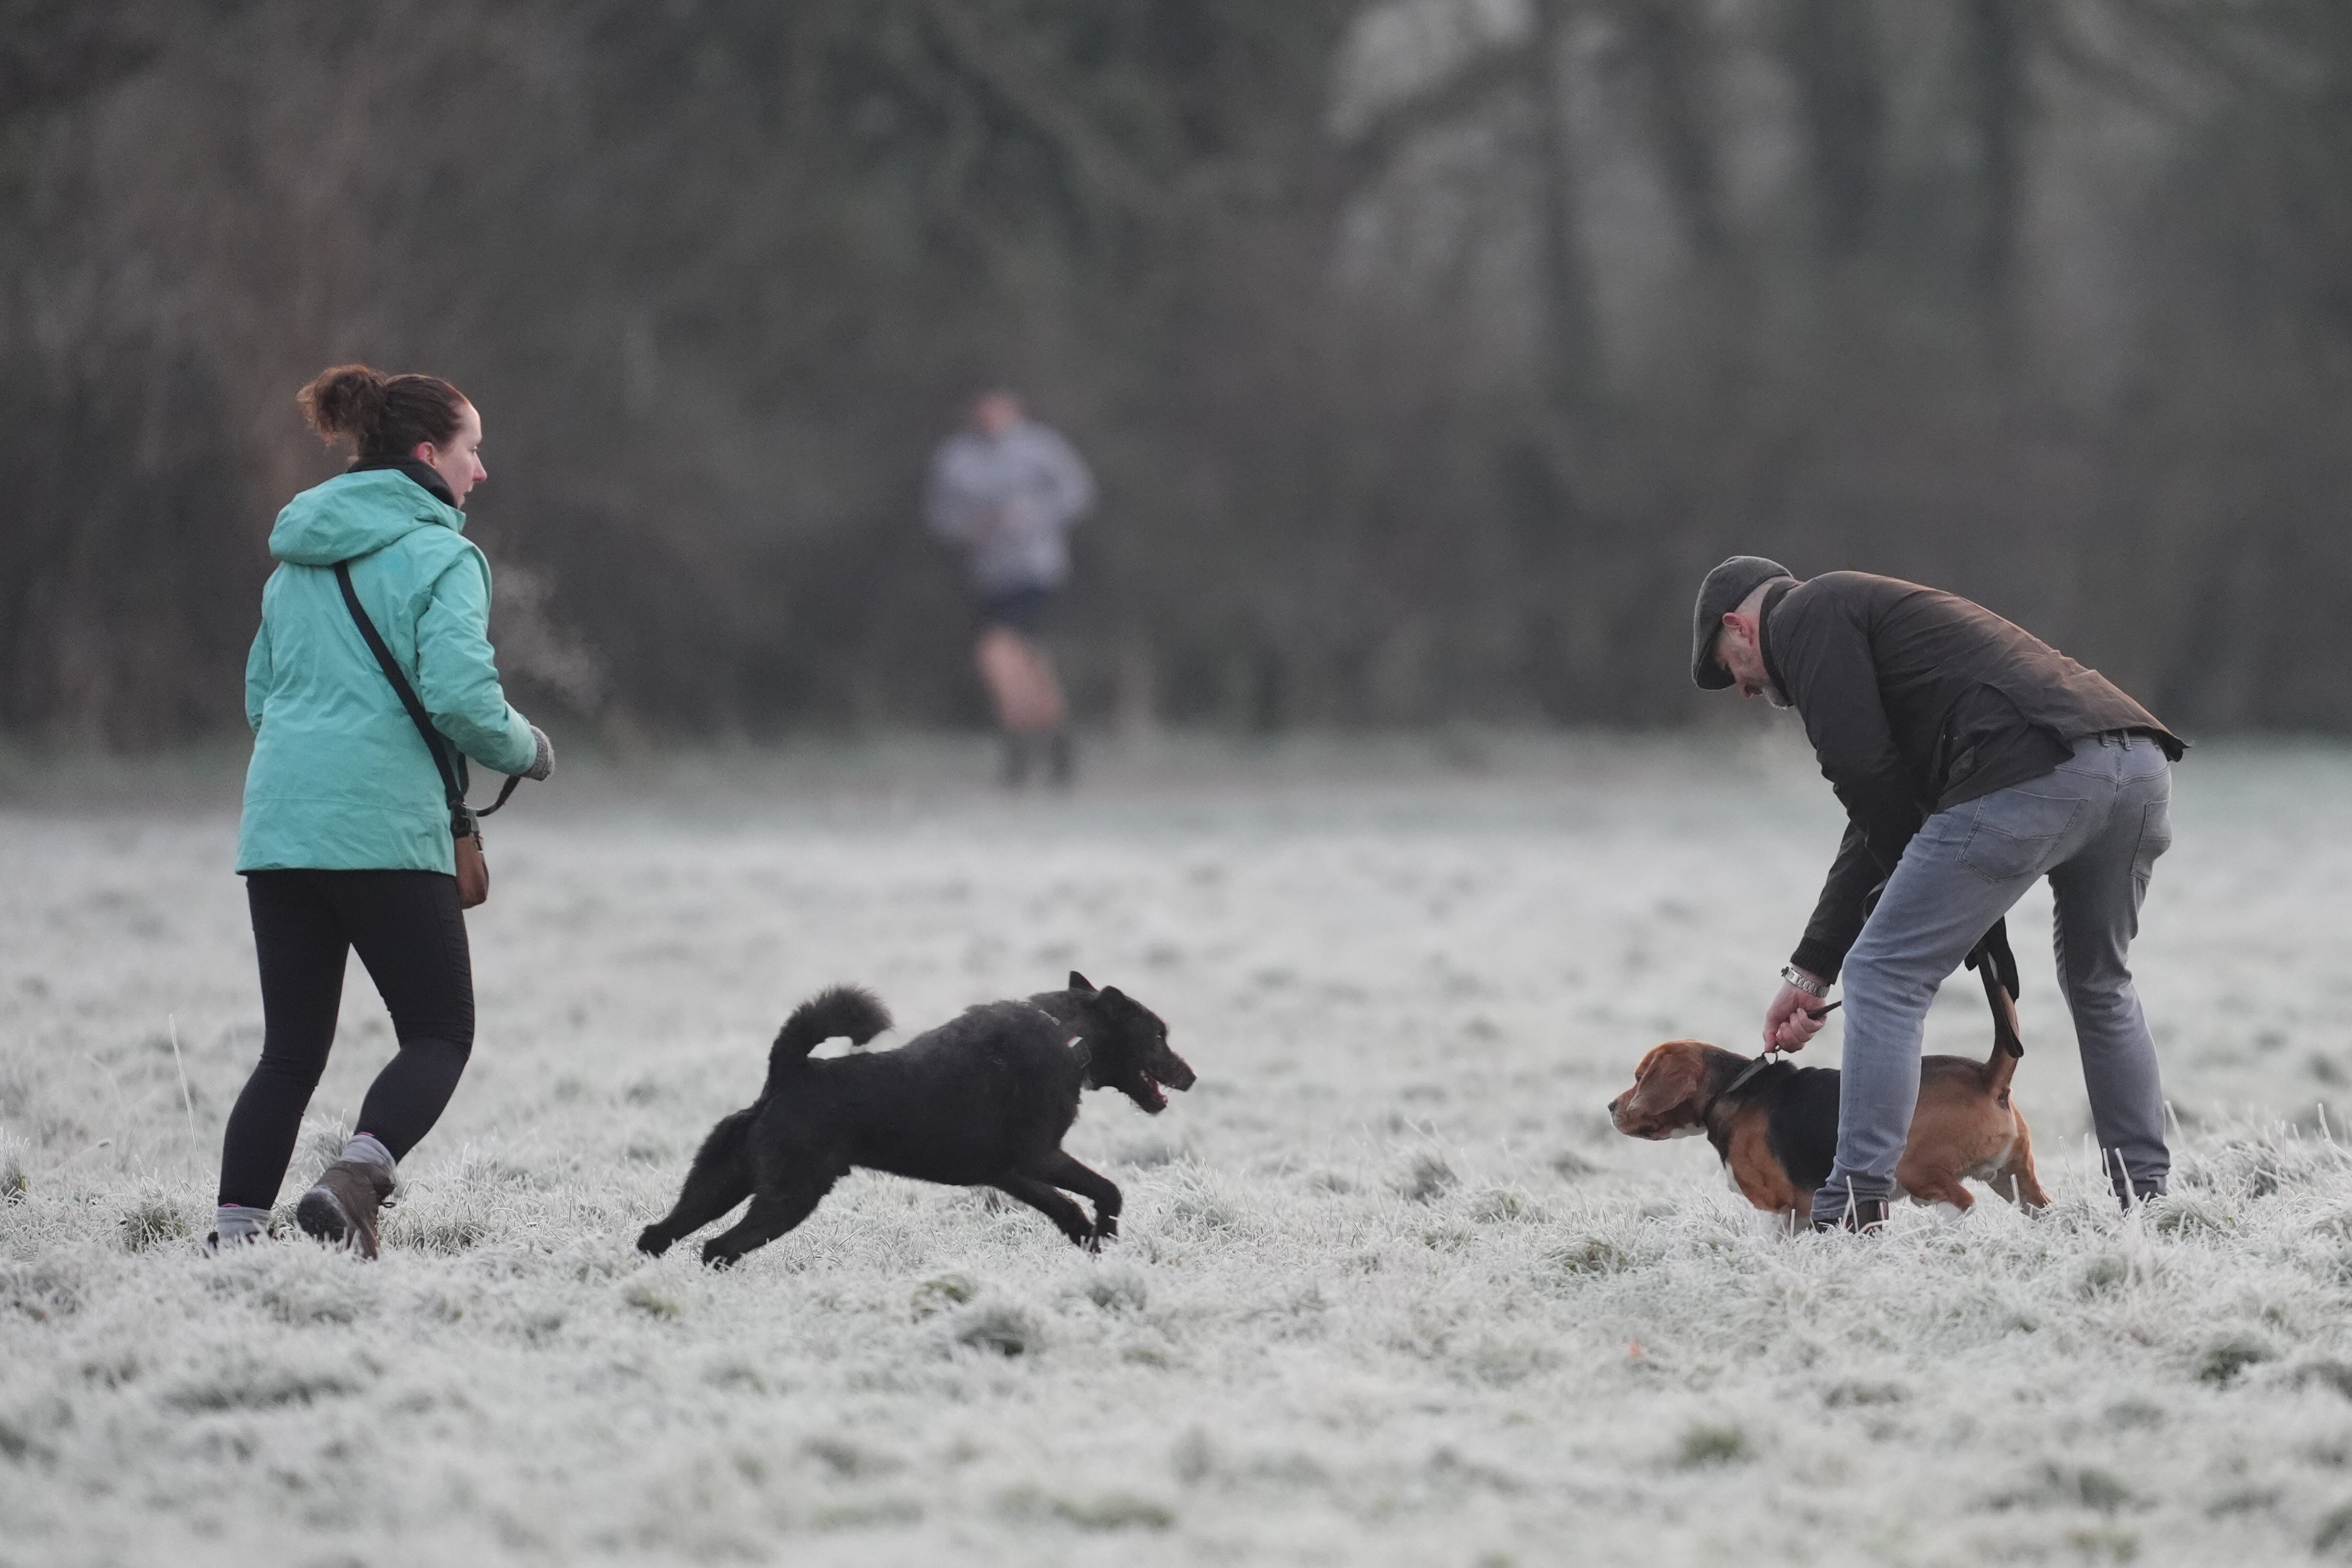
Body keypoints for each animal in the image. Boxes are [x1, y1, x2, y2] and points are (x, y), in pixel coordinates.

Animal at [635, 973, 1195, 1269]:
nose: (1190, 1076)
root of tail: (788, 1072)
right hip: (789, 1195)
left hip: (717, 1184)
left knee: (658, 1235)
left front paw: (1088, 1243)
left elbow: (1067, 1206)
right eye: (1158, 1036)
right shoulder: (1042, 1156)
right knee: (718, 1247)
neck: (1068, 1037)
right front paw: (1106, 1238)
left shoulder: (1012, 1172)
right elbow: (1107, 1191)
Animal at [1609, 969, 2051, 1222]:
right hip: (2017, 1181)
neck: (1734, 1089)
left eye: (1639, 1077)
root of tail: (1987, 1076)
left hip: (1917, 1170)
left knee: (1962, 1204)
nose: (1611, 1107)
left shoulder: (1773, 1208)